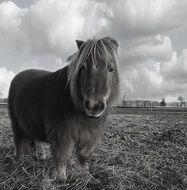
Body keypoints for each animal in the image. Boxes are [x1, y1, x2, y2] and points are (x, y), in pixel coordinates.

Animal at [8, 36, 119, 181]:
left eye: (111, 69)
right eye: (83, 67)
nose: (93, 106)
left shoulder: (90, 133)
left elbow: (84, 155)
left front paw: (85, 174)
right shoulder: (61, 132)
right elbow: (61, 153)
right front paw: (61, 178)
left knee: (35, 140)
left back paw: (40, 156)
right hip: (16, 123)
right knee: (19, 141)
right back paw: (20, 160)